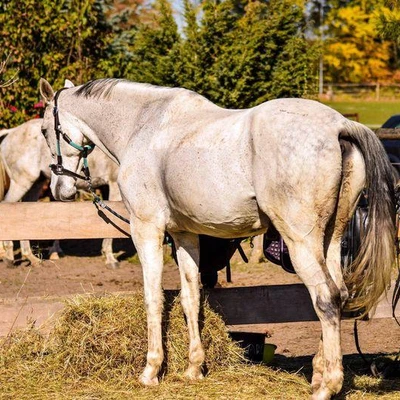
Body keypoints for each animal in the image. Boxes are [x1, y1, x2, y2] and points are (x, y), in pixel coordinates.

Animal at [0, 112, 121, 268]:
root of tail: (11, 132)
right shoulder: (115, 186)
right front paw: (110, 258)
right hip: (21, 183)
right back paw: (9, 256)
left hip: (35, 184)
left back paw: (31, 258)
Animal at [39, 79, 396, 400]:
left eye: (44, 131)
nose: (59, 189)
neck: (143, 126)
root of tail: (339, 125)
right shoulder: (183, 234)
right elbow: (190, 297)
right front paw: (194, 368)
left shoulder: (147, 228)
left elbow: (153, 298)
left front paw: (151, 371)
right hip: (331, 239)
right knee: (340, 294)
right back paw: (320, 372)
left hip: (301, 242)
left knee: (326, 299)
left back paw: (327, 387)